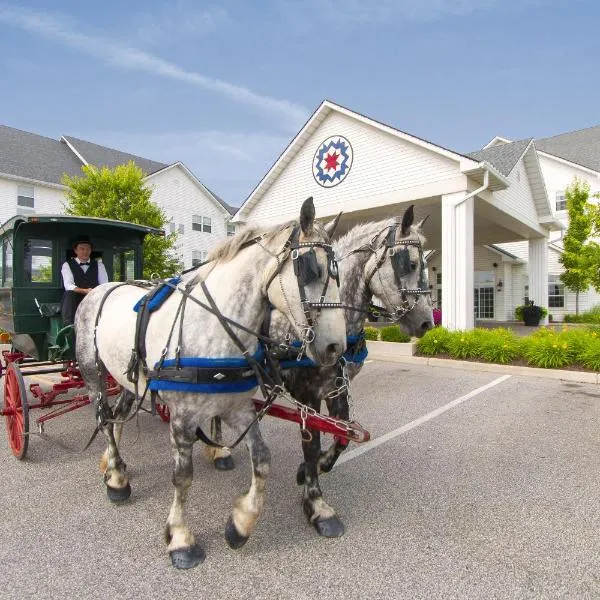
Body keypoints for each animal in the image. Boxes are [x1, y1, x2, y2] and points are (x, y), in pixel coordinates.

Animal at [75, 199, 346, 568]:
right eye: (309, 268)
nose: (335, 347)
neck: (214, 326)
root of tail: (102, 288)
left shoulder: (238, 408)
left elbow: (262, 460)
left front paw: (240, 524)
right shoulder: (182, 417)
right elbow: (182, 477)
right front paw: (180, 538)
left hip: (130, 379)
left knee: (116, 415)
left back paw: (114, 467)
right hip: (92, 372)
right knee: (103, 418)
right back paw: (117, 479)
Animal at [209, 205, 434, 536]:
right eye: (411, 263)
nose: (427, 322)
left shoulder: (337, 387)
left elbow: (343, 434)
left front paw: (314, 469)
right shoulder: (308, 394)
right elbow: (312, 444)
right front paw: (316, 505)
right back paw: (219, 452)